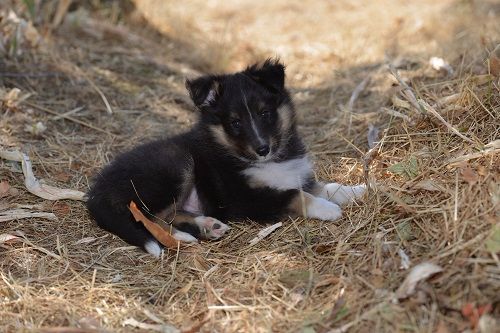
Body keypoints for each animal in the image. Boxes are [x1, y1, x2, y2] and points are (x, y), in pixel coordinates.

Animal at [86, 59, 366, 256]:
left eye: (265, 113)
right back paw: (180, 237)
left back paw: (207, 226)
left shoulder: (295, 174)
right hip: (175, 164)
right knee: (146, 216)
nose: (262, 149)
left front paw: (359, 189)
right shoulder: (245, 198)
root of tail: (97, 191)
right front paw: (328, 209)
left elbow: (325, 186)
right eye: (235, 123)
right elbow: (297, 195)